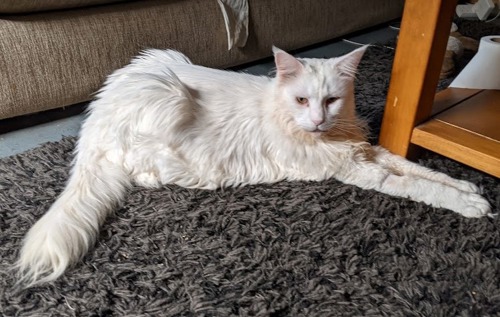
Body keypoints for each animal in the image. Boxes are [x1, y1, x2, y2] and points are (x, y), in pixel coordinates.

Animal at [16, 45, 492, 286]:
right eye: (302, 100)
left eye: (331, 100)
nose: (317, 120)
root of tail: (95, 114)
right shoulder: (361, 170)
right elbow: (416, 186)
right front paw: (470, 205)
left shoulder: (366, 151)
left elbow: (420, 170)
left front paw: (468, 188)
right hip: (165, 96)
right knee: (139, 167)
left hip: (162, 60)